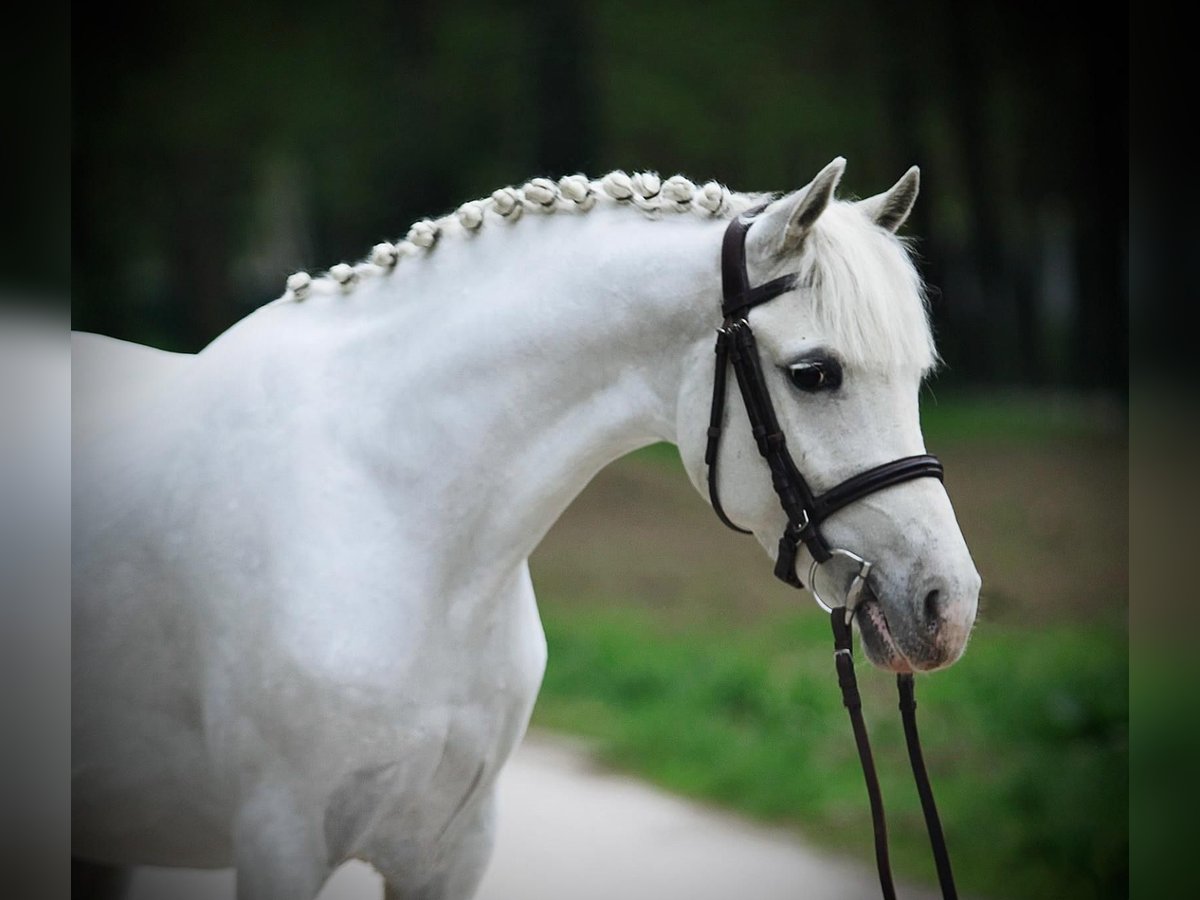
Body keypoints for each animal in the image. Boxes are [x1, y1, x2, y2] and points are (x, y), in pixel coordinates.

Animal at [72, 158, 974, 897]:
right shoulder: (281, 839)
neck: (395, 517)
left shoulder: (454, 848)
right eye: (813, 373)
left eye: (917, 376)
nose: (949, 606)